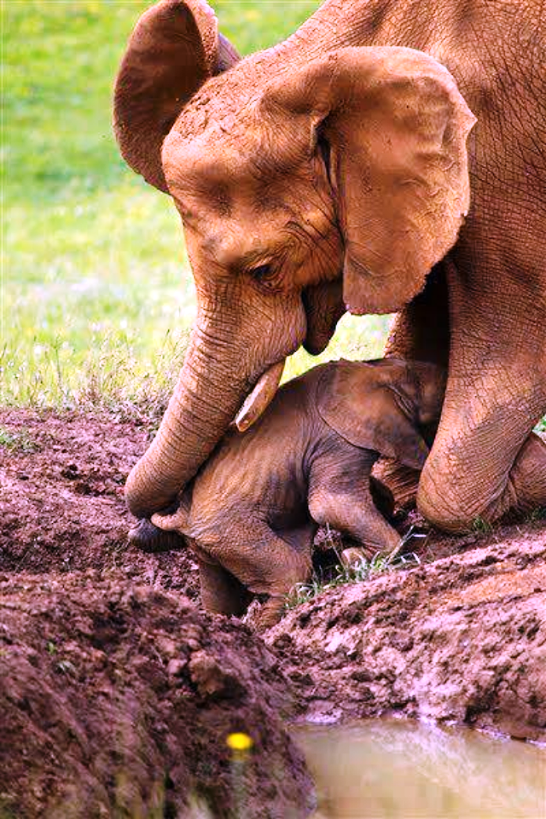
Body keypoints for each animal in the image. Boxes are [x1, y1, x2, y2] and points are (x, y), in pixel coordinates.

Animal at [152, 358, 442, 628]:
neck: (378, 371)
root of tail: (181, 517)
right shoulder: (337, 440)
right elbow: (329, 504)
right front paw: (353, 559)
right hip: (228, 530)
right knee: (292, 573)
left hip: (210, 543)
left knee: (222, 597)